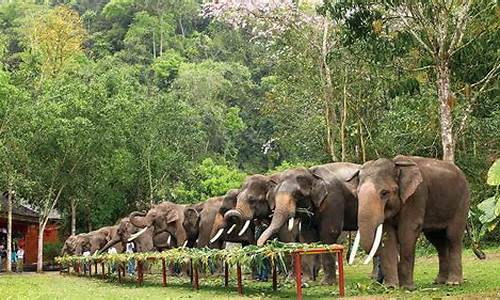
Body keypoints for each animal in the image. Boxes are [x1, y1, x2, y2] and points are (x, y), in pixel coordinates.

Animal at [346, 156, 470, 290]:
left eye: (384, 193)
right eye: (357, 193)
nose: (379, 280)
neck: (396, 164)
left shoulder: (416, 195)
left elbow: (407, 232)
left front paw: (407, 288)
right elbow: (387, 236)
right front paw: (391, 287)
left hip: (462, 203)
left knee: (453, 237)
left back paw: (454, 283)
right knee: (437, 241)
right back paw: (439, 281)